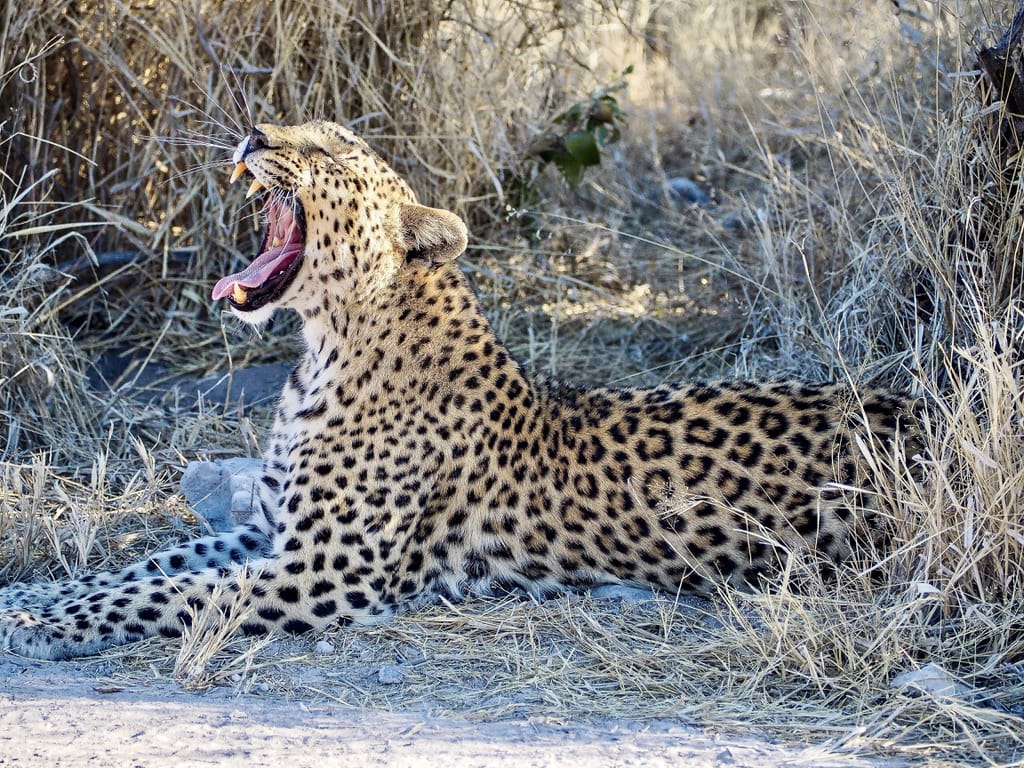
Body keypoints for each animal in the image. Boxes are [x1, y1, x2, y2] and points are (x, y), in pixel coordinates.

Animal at [0, 121, 917, 663]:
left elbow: (167, 593)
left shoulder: (321, 571)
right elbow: (141, 567)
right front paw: (30, 595)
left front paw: (39, 626)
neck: (323, 349)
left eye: (332, 150)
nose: (254, 129)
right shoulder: (270, 532)